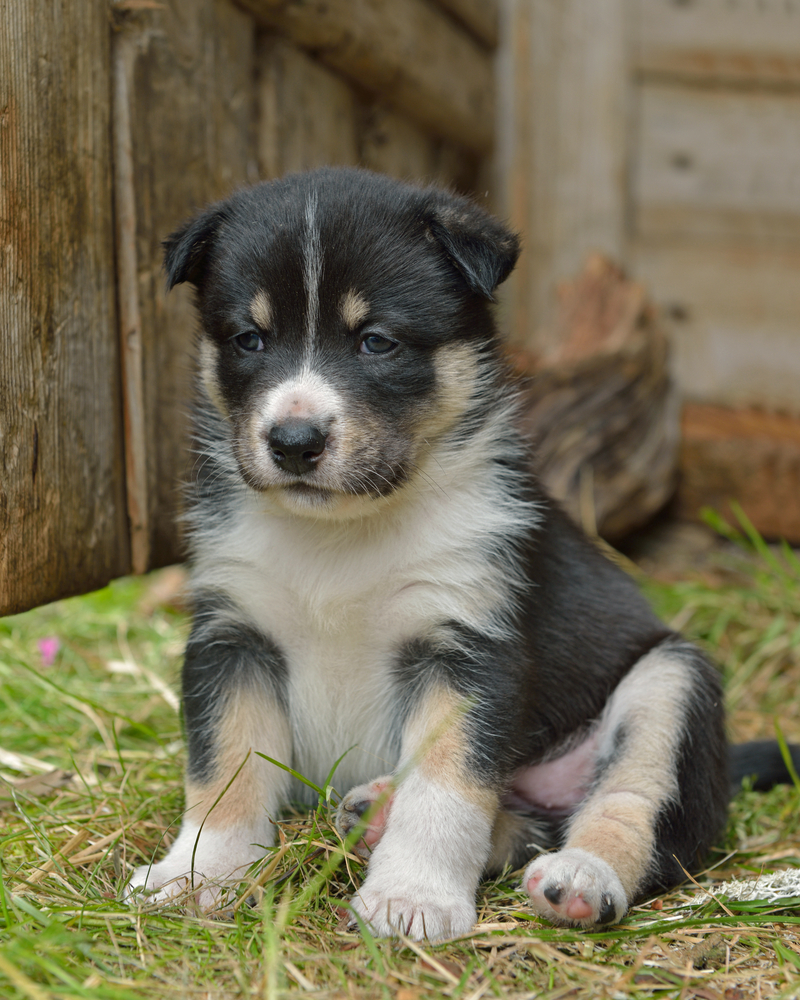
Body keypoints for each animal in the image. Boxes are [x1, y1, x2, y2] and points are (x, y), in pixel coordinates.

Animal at [131, 168, 768, 940]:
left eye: (377, 342)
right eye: (249, 339)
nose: (293, 442)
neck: (344, 535)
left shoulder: (466, 647)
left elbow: (445, 789)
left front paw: (412, 900)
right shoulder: (231, 637)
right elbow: (225, 768)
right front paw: (200, 874)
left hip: (671, 681)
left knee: (635, 813)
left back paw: (582, 878)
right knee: (525, 823)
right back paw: (374, 812)